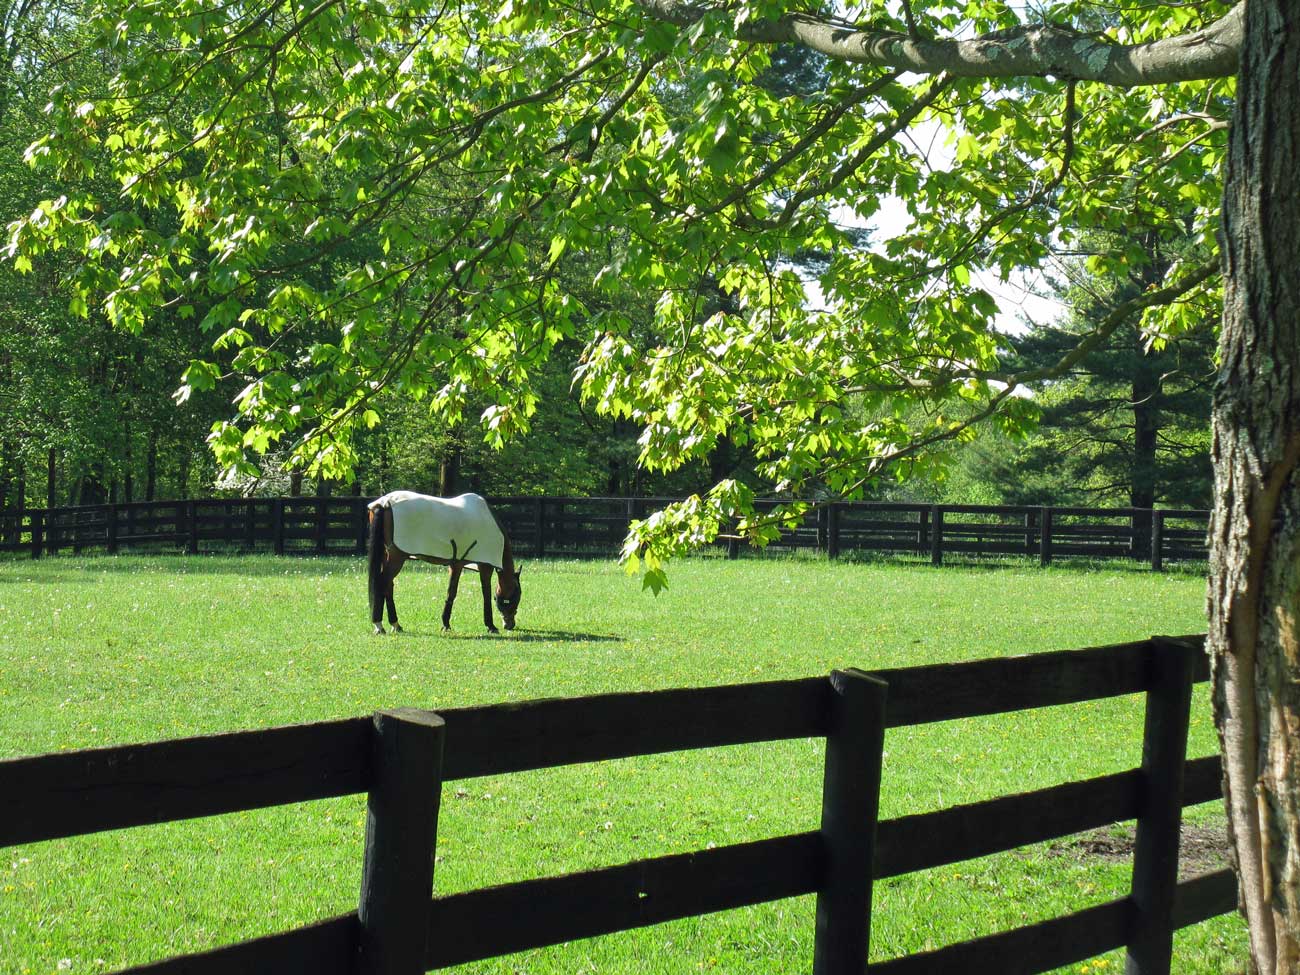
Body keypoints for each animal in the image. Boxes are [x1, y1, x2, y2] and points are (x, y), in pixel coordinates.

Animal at [364, 491, 520, 637]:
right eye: (517, 596)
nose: (510, 625)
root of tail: (384, 503)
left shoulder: (456, 564)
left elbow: (451, 592)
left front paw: (446, 624)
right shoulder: (484, 566)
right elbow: (485, 593)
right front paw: (491, 626)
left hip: (386, 555)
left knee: (388, 586)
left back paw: (395, 624)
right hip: (397, 558)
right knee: (382, 583)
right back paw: (379, 625)